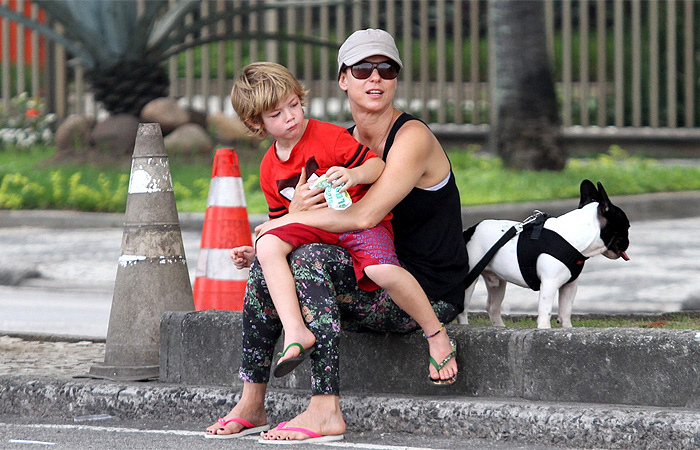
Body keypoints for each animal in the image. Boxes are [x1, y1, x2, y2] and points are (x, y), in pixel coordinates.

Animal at [456, 180, 632, 330]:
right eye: (627, 227)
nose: (628, 242)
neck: (575, 235)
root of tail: (469, 230)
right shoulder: (549, 284)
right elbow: (545, 310)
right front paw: (545, 329)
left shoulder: (570, 285)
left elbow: (566, 310)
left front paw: (568, 329)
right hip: (470, 278)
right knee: (463, 308)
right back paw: (465, 326)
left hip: (497, 282)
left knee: (493, 307)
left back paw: (500, 328)